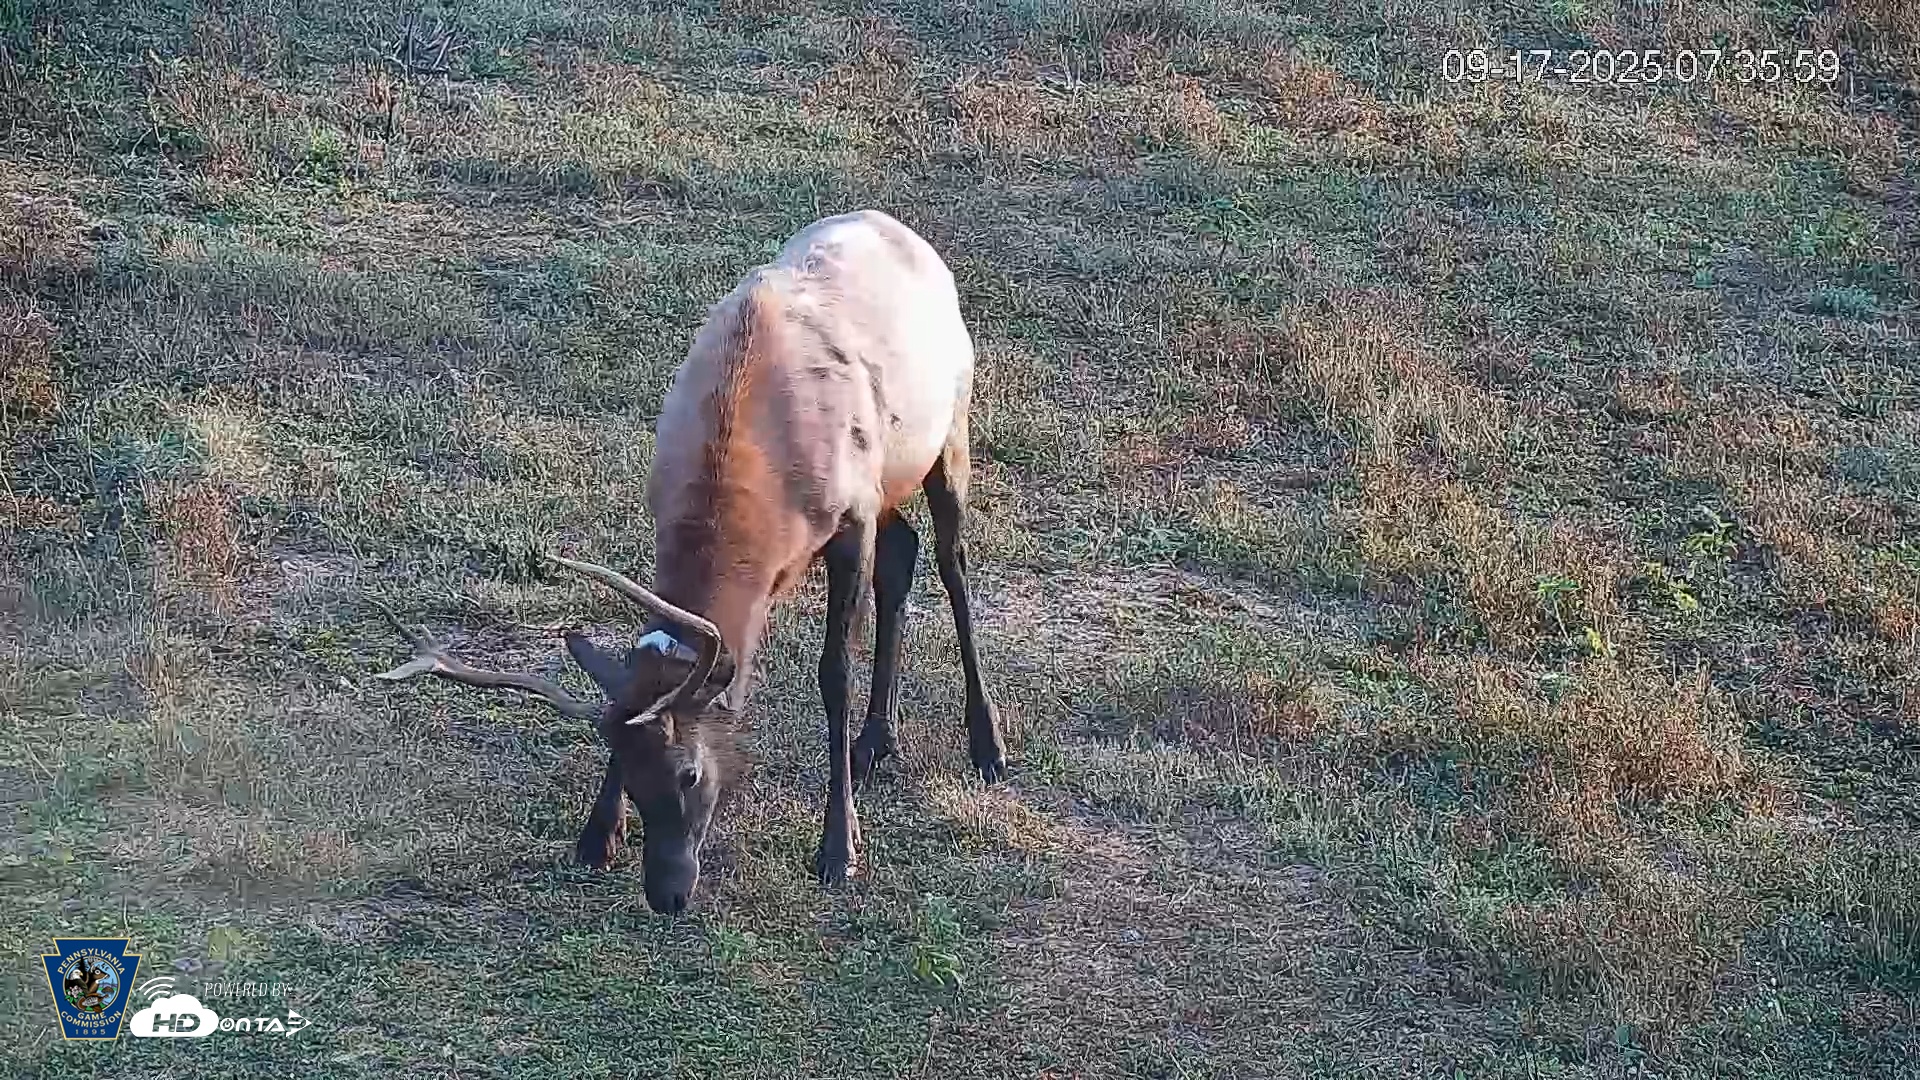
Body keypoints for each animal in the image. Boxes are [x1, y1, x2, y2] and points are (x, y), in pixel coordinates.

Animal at [374, 209, 1009, 915]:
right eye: (623, 765)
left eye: (689, 773)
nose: (667, 893)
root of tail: (904, 232)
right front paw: (595, 837)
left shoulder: (853, 515)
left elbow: (833, 674)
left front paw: (840, 849)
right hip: (898, 478)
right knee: (904, 554)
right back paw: (878, 742)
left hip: (949, 433)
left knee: (951, 561)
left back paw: (987, 744)